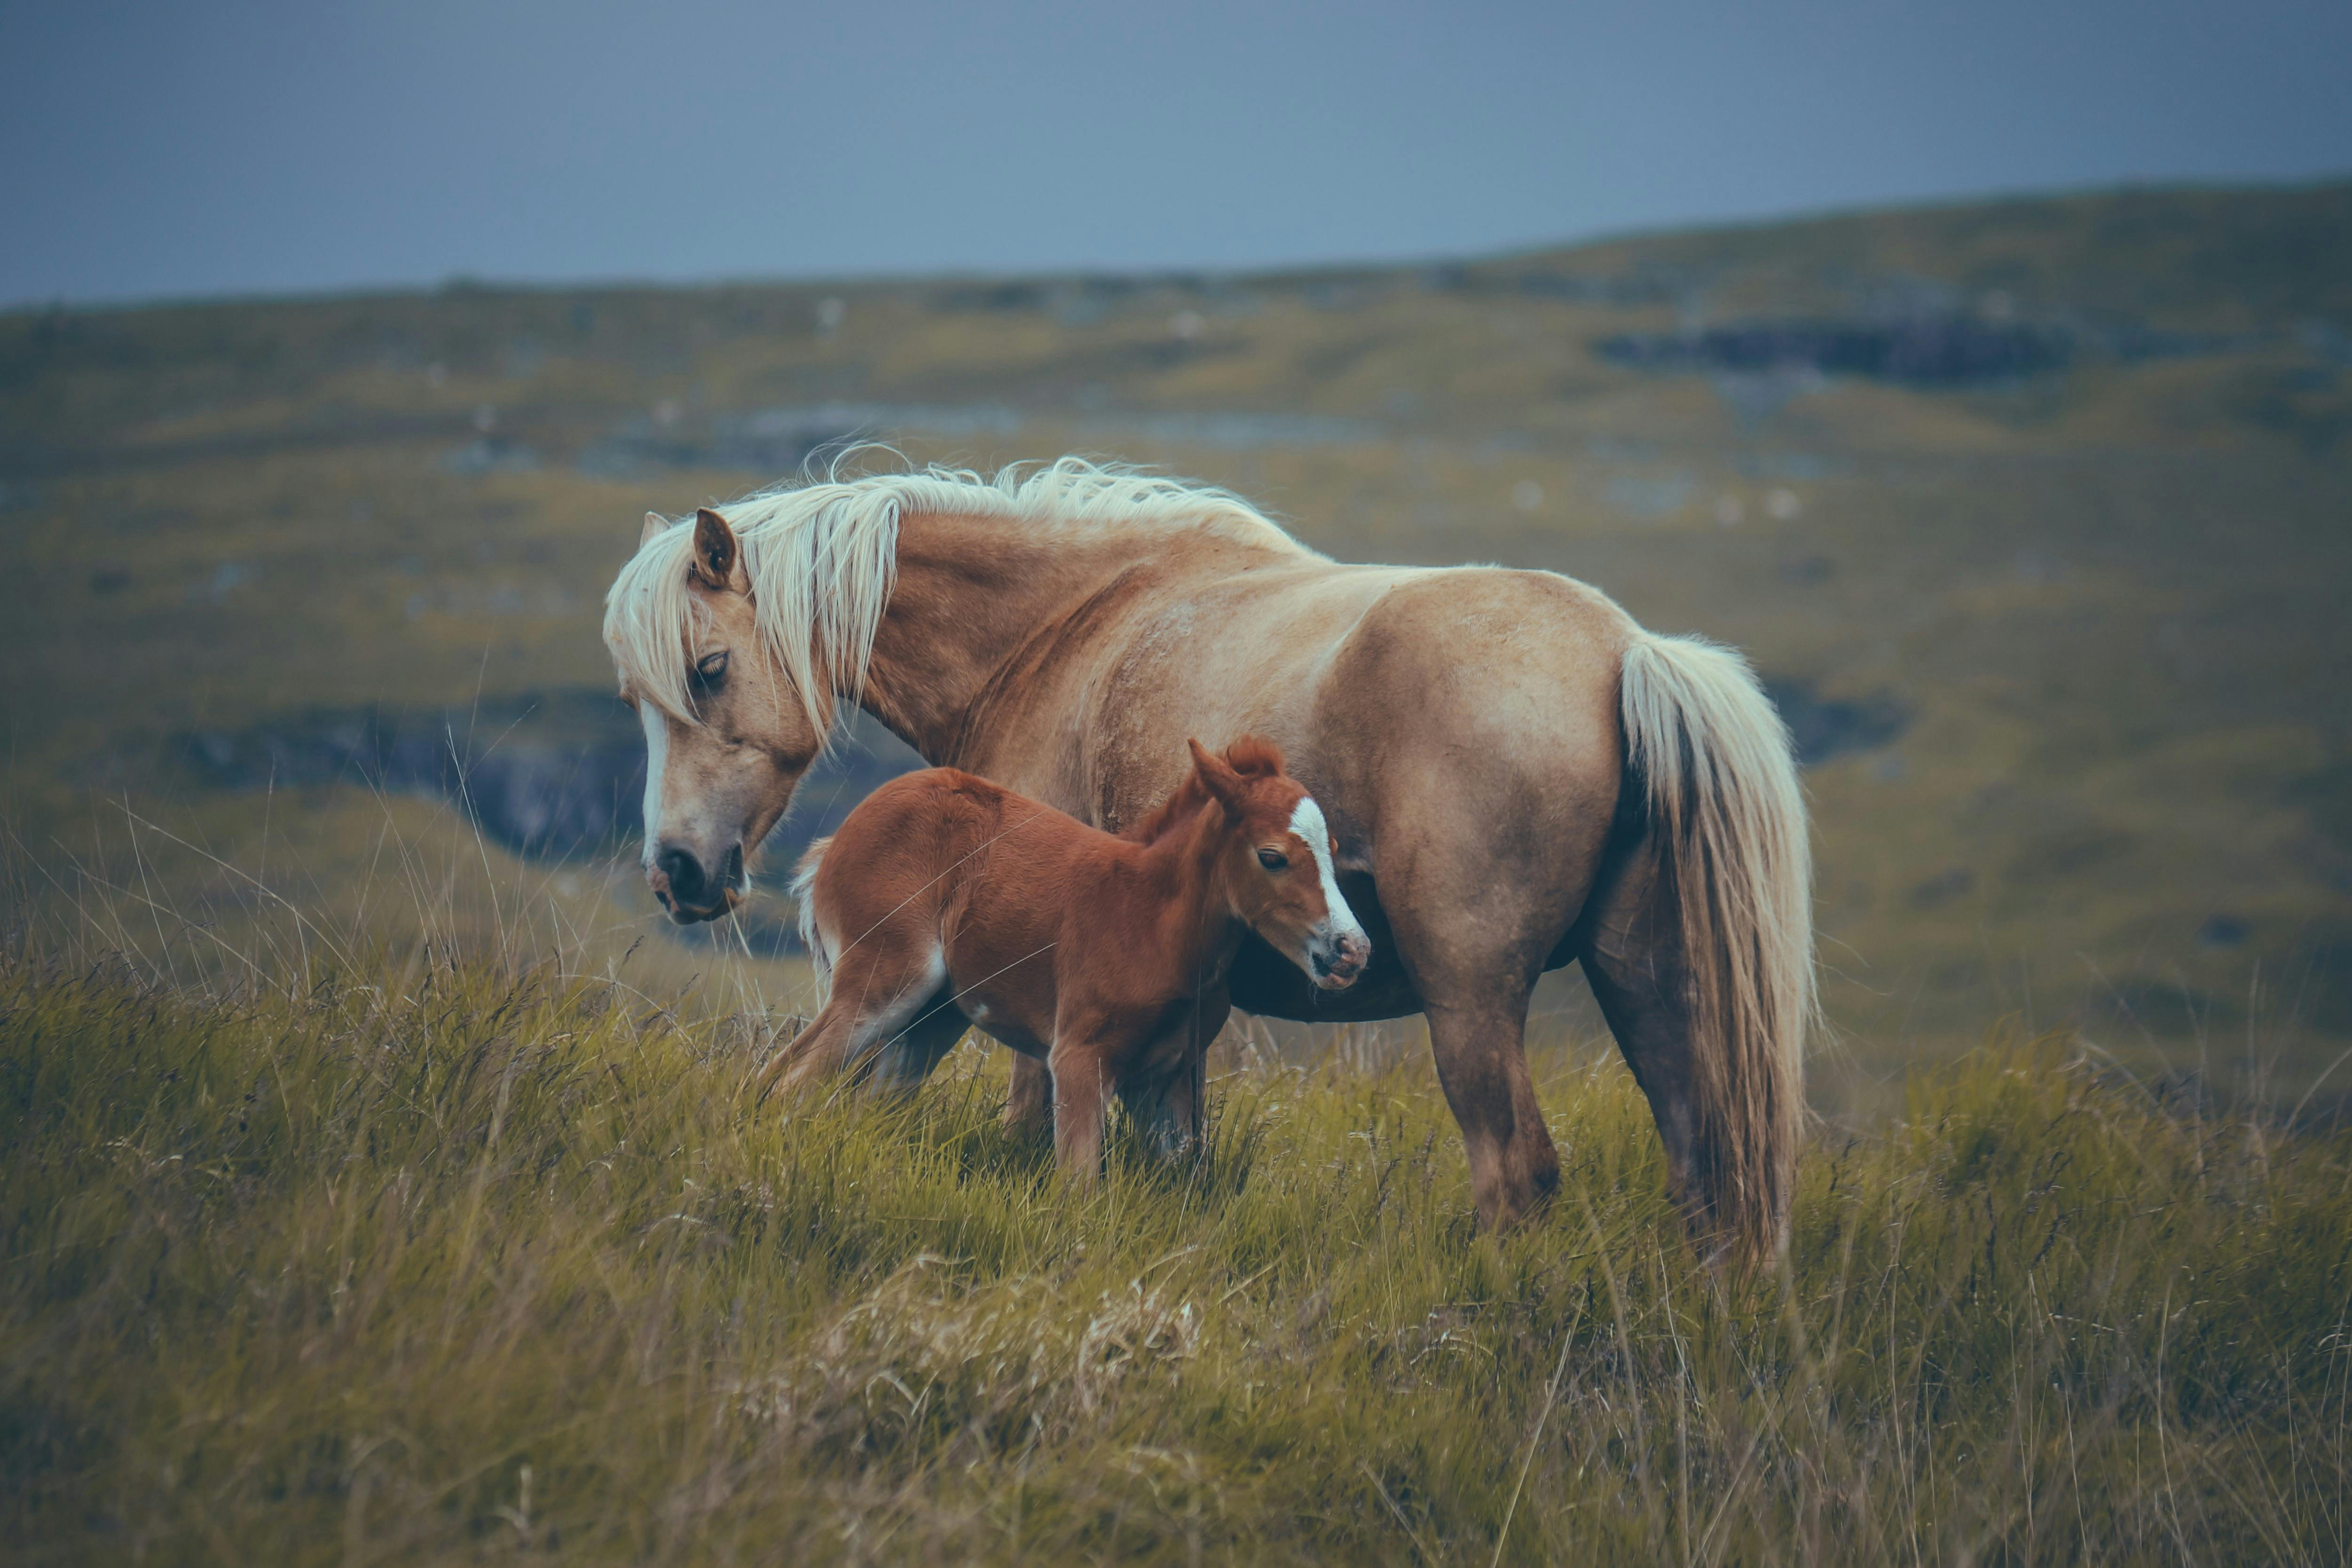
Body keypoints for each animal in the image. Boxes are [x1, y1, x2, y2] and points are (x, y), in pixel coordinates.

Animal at [757, 736, 1371, 1177]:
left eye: (1333, 851)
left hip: (935, 1015)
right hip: (887, 978)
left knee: (858, 1102)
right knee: (790, 1078)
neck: (1153, 921)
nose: (1352, 950)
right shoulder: (1078, 1057)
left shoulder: (1167, 1078)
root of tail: (833, 843)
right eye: (1273, 856)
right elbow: (1079, 1187)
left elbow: (1180, 1182)